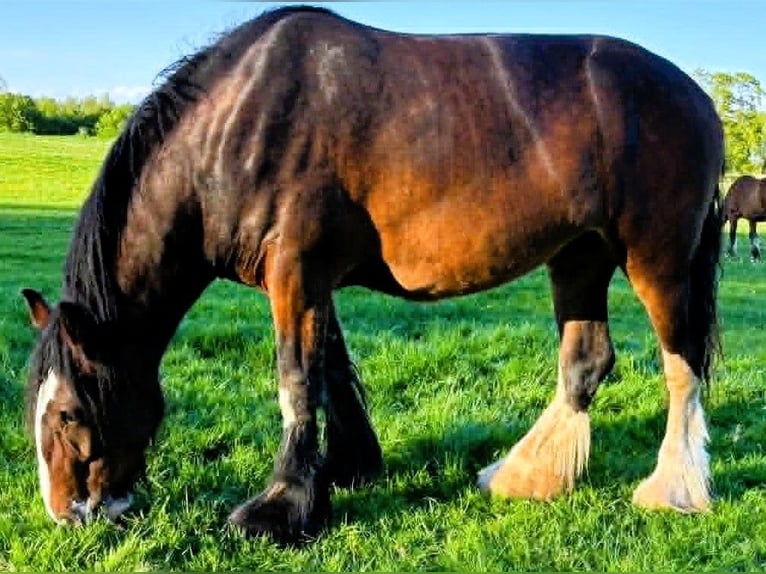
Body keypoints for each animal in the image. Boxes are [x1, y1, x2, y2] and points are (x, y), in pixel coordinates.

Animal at [22, 6, 724, 544]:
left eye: (69, 414)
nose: (67, 515)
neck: (235, 126)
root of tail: (696, 98)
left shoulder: (294, 273)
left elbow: (296, 382)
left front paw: (281, 509)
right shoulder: (312, 281)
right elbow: (330, 371)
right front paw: (346, 468)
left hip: (656, 259)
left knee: (681, 365)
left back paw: (673, 489)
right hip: (579, 256)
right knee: (586, 362)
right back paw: (525, 476)